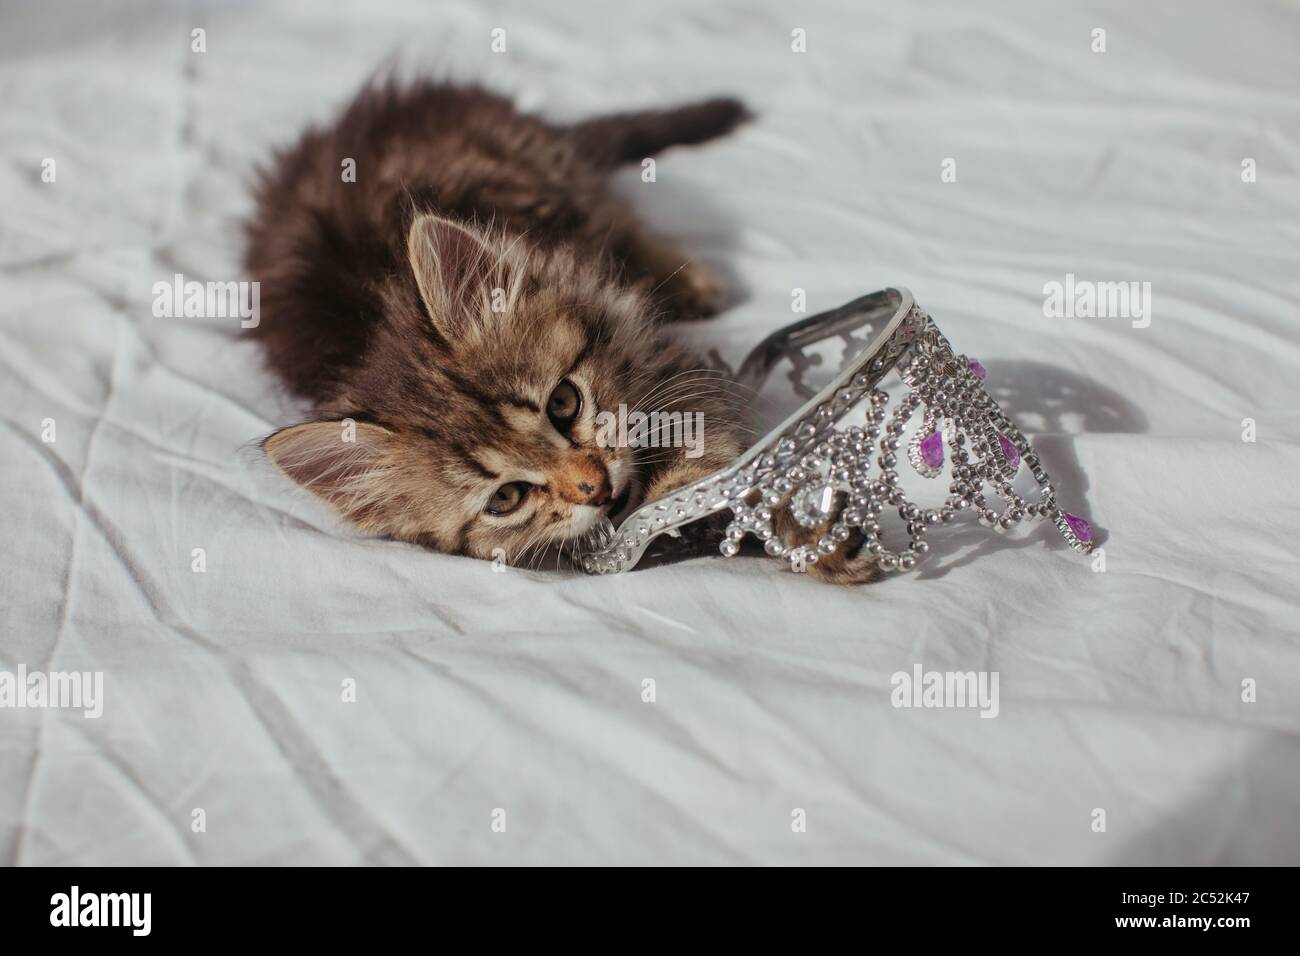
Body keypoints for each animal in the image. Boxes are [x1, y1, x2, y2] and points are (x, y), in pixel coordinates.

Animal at [244, 78, 873, 582]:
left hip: (554, 175)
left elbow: (712, 463)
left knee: (619, 214)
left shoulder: (654, 345)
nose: (594, 488)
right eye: (507, 497)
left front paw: (804, 531)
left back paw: (692, 281)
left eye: (564, 403)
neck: (374, 316)